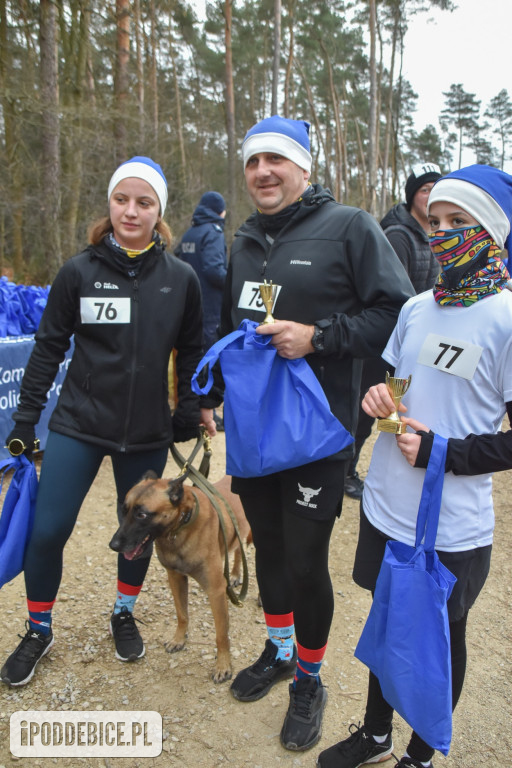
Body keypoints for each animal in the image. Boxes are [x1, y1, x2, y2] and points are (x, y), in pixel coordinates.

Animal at [109, 474, 250, 684]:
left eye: (141, 515)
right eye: (124, 511)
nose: (113, 545)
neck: (182, 525)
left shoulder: (215, 590)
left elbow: (221, 634)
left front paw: (223, 665)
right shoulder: (175, 578)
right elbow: (182, 615)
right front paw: (179, 640)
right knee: (239, 550)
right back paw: (234, 574)